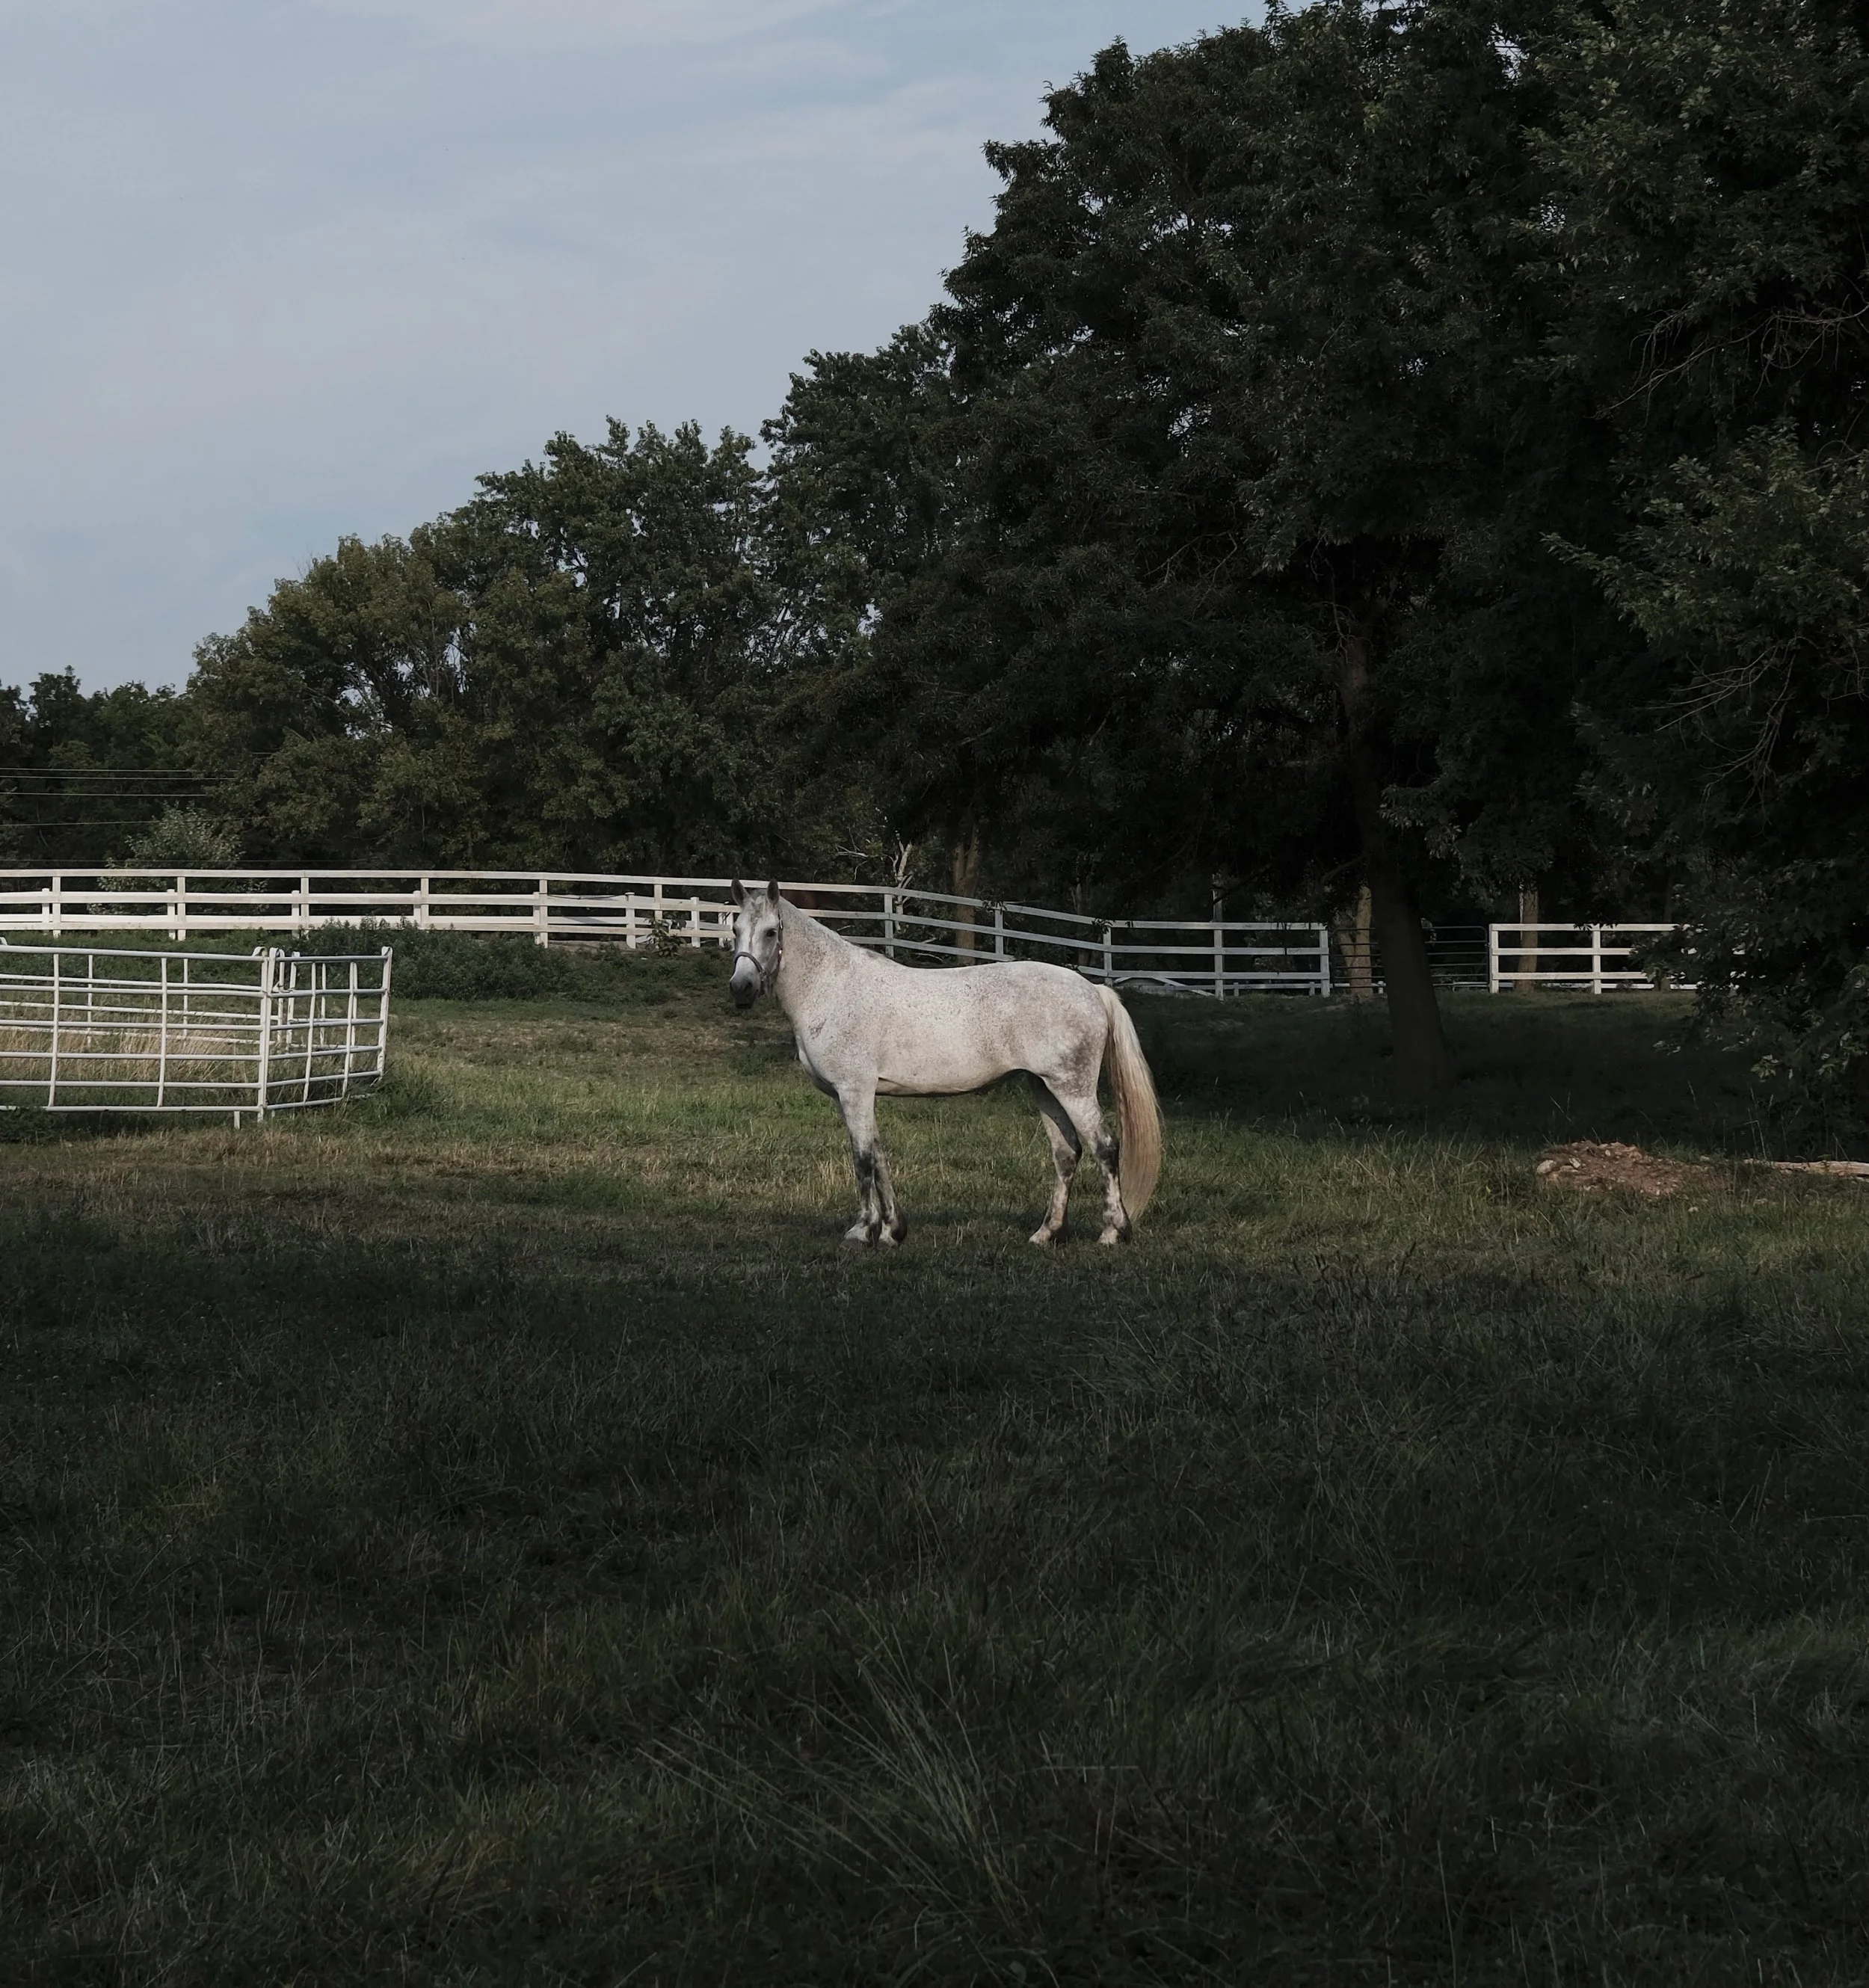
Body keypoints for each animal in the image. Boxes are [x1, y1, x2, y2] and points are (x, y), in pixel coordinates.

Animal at [727, 880, 1162, 1246]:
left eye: (771, 932)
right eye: (735, 930)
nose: (740, 988)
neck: (832, 989)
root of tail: (1092, 989)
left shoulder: (854, 1091)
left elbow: (863, 1159)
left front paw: (862, 1231)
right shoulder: (854, 1096)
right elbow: (879, 1155)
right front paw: (893, 1231)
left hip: (1073, 1088)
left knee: (1105, 1147)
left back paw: (1112, 1233)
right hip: (1043, 1087)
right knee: (1066, 1153)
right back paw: (1046, 1233)